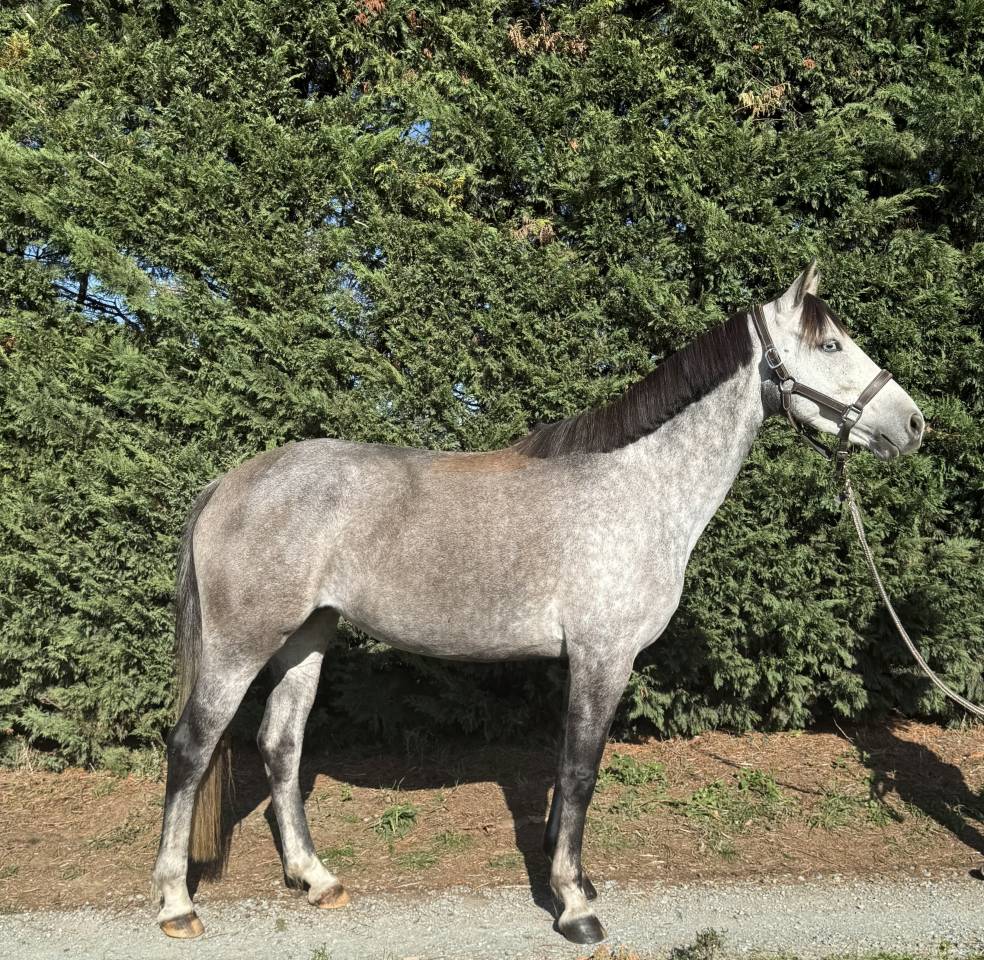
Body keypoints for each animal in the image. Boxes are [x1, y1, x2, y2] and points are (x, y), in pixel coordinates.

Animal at [152, 263, 924, 944]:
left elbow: (563, 774)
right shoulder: (603, 657)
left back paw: (315, 879)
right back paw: (176, 905)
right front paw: (576, 906)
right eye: (831, 345)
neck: (638, 488)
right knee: (191, 748)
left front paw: (571, 880)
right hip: (240, 646)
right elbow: (580, 774)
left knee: (280, 746)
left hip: (307, 637)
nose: (914, 424)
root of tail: (228, 483)